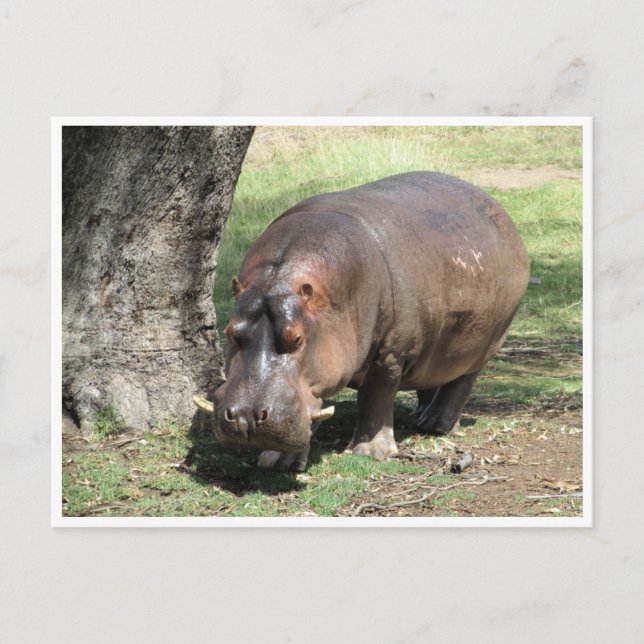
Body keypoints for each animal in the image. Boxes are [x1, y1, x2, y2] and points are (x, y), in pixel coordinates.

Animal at [194, 172, 529, 471]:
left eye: (297, 338)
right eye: (231, 332)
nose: (246, 417)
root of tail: (497, 206)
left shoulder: (391, 352)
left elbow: (376, 399)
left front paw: (371, 453)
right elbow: (311, 410)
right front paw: (275, 460)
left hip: (485, 341)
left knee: (462, 381)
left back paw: (437, 425)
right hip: (436, 343)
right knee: (431, 375)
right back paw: (420, 416)